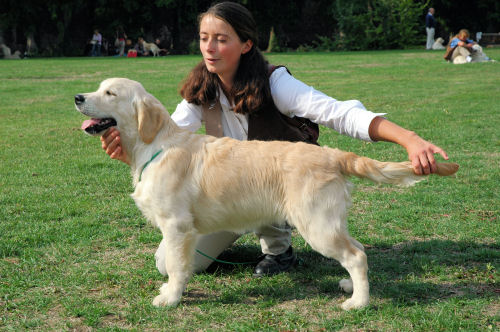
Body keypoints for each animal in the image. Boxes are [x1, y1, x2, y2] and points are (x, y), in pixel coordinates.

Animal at [72, 78, 458, 312]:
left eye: (110, 94)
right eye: (98, 88)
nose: (77, 97)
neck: (155, 146)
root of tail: (332, 154)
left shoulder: (177, 227)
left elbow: (176, 267)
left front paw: (170, 297)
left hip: (316, 224)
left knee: (356, 255)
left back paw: (358, 303)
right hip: (328, 222)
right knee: (358, 251)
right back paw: (351, 287)